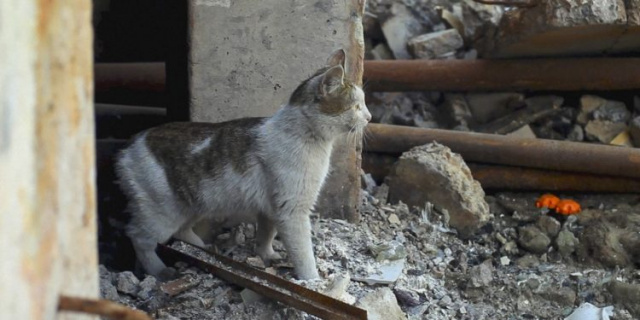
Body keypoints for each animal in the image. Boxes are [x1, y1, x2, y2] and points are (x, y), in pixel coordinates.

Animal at [115, 48, 370, 280]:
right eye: (356, 107)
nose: (369, 117)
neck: (308, 138)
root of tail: (129, 146)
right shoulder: (292, 211)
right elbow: (303, 254)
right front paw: (313, 281)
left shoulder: (271, 208)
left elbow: (266, 235)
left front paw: (267, 255)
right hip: (163, 212)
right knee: (138, 237)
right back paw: (160, 271)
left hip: (193, 206)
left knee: (182, 231)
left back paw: (203, 249)